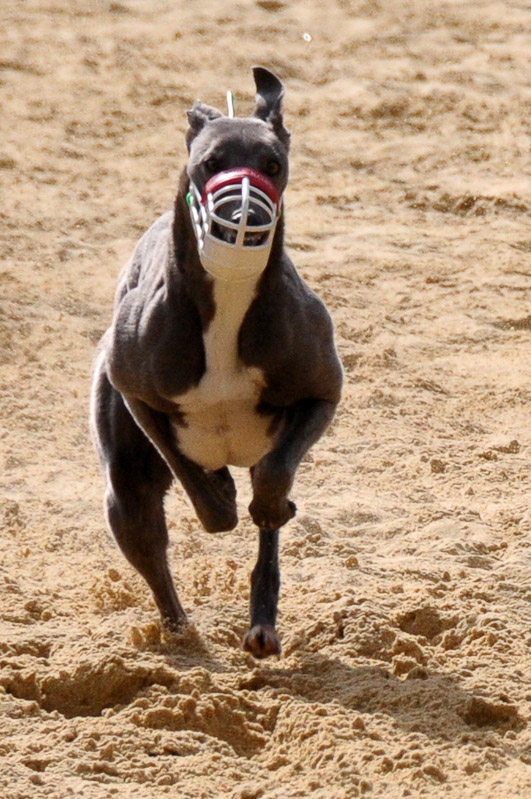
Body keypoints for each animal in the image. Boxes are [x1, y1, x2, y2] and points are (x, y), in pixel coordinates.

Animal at [90, 67, 342, 659]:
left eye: (273, 164)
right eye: (210, 162)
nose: (244, 213)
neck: (227, 297)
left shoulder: (323, 391)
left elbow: (274, 474)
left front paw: (268, 504)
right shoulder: (134, 391)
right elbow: (194, 480)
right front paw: (221, 497)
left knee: (268, 536)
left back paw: (262, 621)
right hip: (124, 489)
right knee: (150, 546)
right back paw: (180, 631)